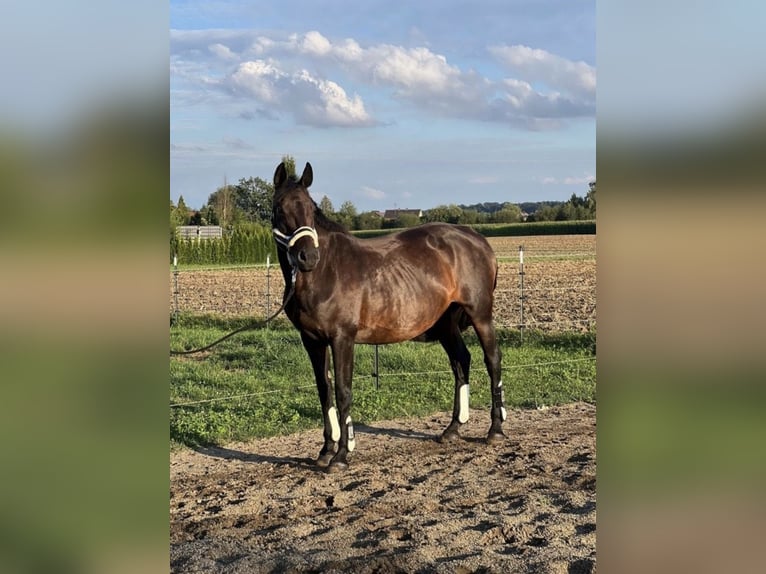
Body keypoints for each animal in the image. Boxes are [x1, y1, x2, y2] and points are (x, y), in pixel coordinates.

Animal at [272, 162, 508, 472]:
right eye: (280, 208)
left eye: (311, 209)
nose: (307, 257)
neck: (324, 273)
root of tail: (477, 238)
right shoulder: (312, 340)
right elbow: (325, 391)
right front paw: (325, 450)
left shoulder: (342, 338)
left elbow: (343, 391)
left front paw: (342, 455)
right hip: (445, 324)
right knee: (461, 361)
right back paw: (453, 428)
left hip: (481, 315)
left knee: (492, 360)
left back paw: (496, 429)